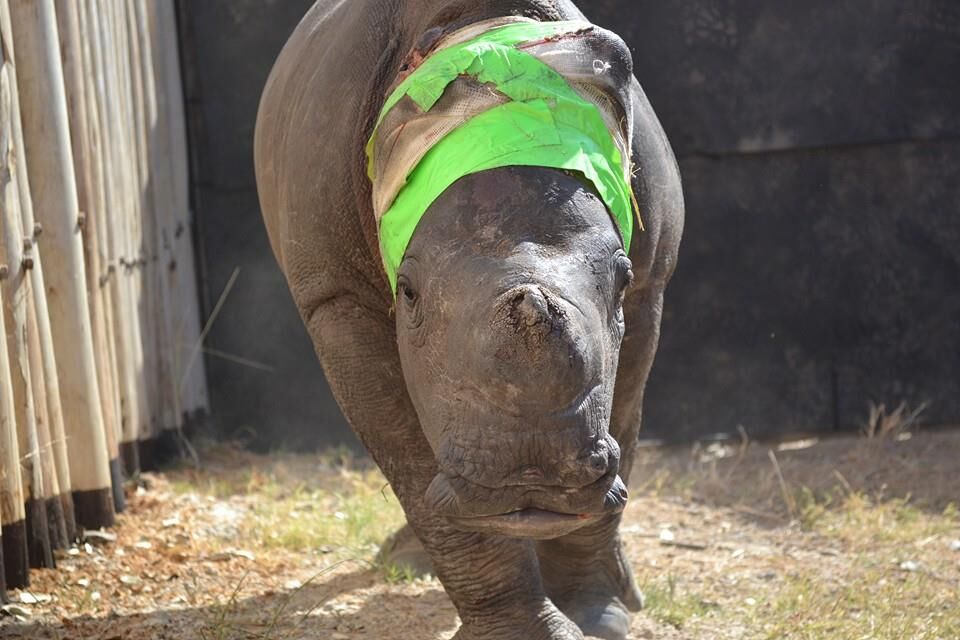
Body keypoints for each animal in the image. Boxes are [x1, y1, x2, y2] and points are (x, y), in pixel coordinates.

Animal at [254, 1, 684, 638]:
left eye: (622, 280)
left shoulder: (651, 282)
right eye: (406, 291)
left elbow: (624, 421)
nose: (530, 479)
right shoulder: (335, 295)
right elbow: (411, 463)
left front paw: (598, 616)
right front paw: (530, 627)